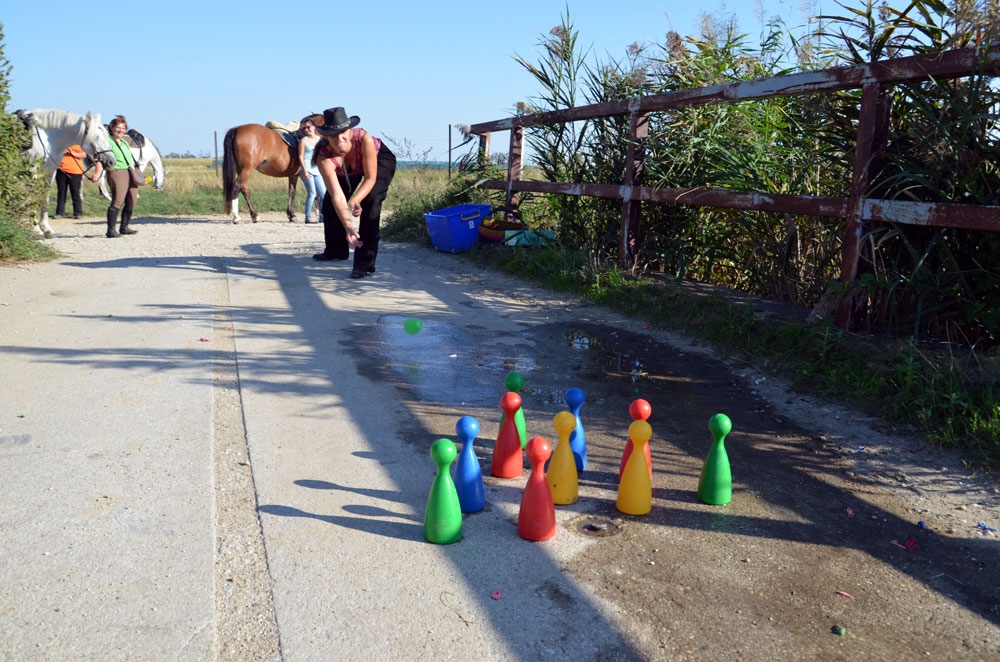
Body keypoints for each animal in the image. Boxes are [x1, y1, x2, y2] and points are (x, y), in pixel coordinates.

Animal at [15, 110, 117, 240]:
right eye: (96, 137)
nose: (111, 161)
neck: (47, 139)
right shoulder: (32, 172)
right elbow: (32, 198)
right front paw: (36, 230)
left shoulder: (50, 172)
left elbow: (45, 198)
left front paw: (47, 230)